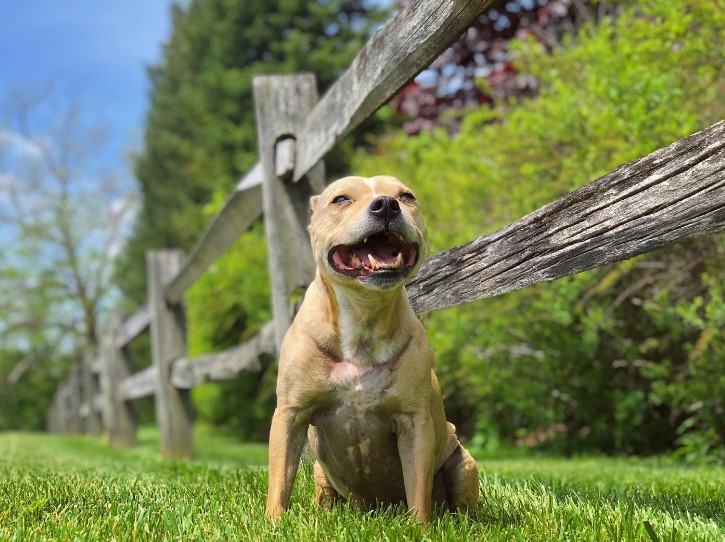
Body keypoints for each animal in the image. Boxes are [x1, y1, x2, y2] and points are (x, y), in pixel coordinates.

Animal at [266, 176, 480, 524]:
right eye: (341, 199)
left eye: (406, 196)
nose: (386, 205)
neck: (364, 315)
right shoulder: (290, 415)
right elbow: (280, 479)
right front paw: (273, 523)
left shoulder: (414, 423)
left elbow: (417, 488)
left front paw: (420, 528)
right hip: (320, 473)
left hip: (462, 464)